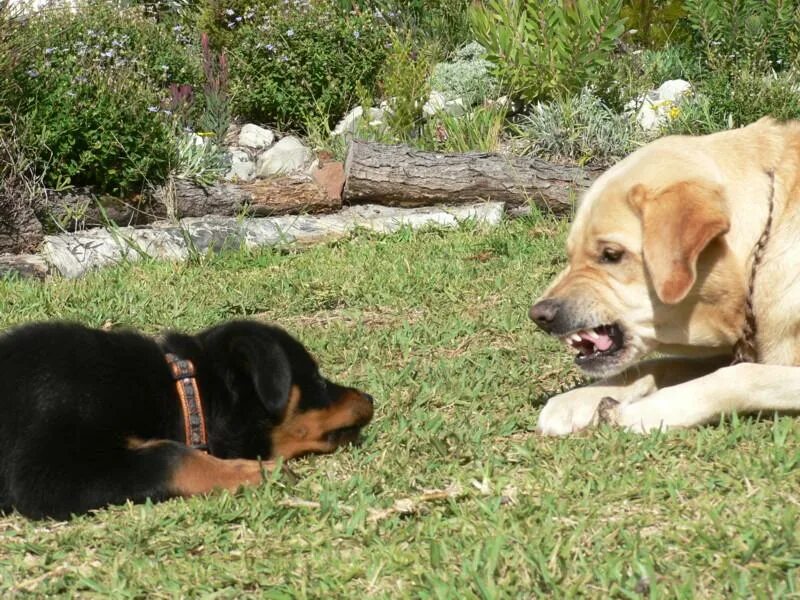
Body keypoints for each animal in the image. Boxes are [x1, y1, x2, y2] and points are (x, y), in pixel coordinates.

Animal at [0, 318, 376, 520]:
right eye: (316, 380)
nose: (369, 398)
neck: (178, 392)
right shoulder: (46, 469)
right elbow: (171, 453)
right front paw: (257, 472)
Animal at [532, 117, 800, 434]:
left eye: (611, 254)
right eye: (570, 255)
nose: (539, 315)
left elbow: (740, 376)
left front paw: (643, 411)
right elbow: (661, 364)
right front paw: (577, 399)